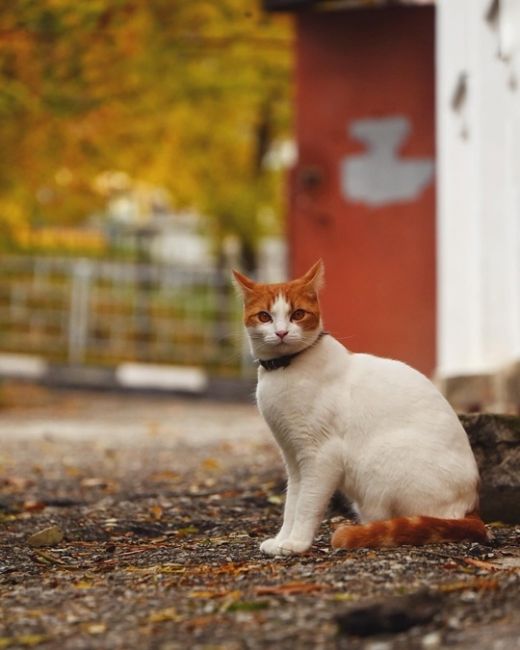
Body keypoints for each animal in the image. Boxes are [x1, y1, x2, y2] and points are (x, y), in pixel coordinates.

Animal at [234, 260, 490, 556]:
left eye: (297, 314)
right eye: (264, 317)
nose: (281, 332)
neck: (286, 369)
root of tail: (472, 508)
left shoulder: (321, 455)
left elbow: (307, 504)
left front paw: (297, 543)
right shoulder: (293, 456)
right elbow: (292, 503)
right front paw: (281, 540)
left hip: (382, 458)